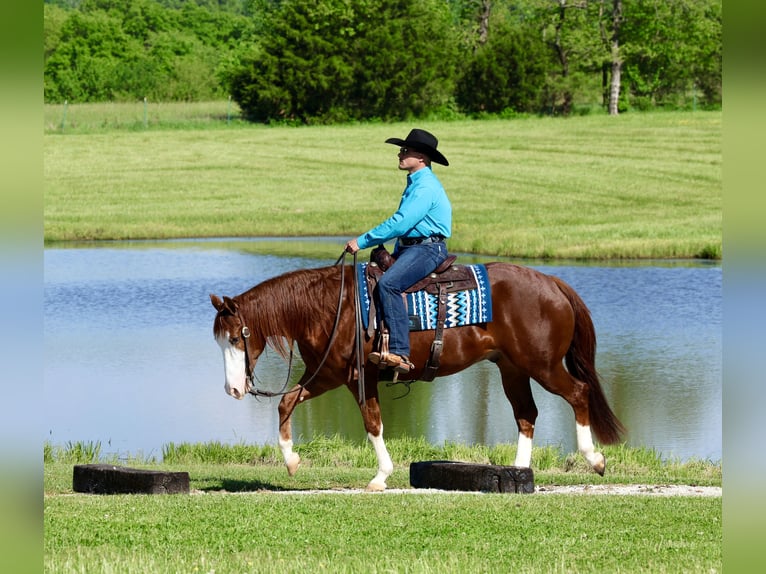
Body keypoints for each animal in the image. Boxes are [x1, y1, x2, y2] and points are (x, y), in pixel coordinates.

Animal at [210, 259, 625, 491]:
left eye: (236, 337)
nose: (232, 389)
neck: (331, 307)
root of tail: (553, 283)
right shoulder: (325, 375)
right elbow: (286, 402)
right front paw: (292, 462)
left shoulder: (358, 377)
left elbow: (372, 423)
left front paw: (381, 476)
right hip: (513, 368)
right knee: (527, 414)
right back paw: (520, 472)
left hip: (543, 365)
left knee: (578, 393)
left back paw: (595, 459)